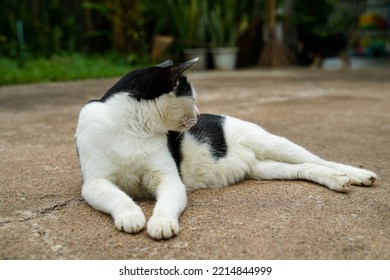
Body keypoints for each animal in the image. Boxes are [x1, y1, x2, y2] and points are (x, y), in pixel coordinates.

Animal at [74, 58, 376, 238]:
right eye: (192, 97)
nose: (198, 113)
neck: (133, 128)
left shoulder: (169, 179)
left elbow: (166, 203)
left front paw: (160, 223)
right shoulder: (94, 183)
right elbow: (118, 197)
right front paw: (131, 215)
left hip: (273, 143)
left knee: (320, 159)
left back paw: (356, 175)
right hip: (265, 169)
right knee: (306, 167)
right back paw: (337, 180)